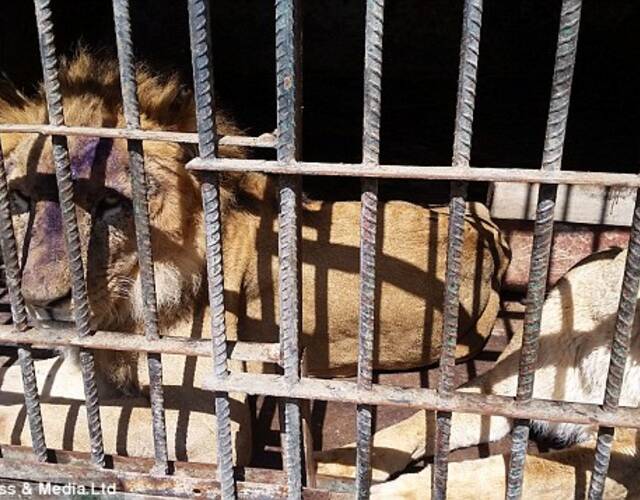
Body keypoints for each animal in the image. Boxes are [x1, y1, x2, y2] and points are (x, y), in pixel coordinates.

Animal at [316, 248, 640, 498]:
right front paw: (336, 462)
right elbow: (415, 423)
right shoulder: (499, 393)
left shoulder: (625, 455)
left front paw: (399, 492)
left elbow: (513, 471)